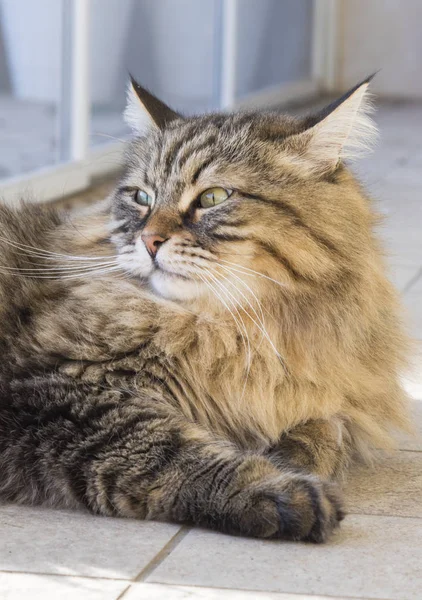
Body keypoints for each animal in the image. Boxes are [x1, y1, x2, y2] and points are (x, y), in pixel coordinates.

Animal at [0, 72, 408, 540]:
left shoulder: (326, 395)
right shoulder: (53, 391)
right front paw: (281, 490)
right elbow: (169, 453)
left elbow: (327, 431)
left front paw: (291, 458)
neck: (238, 332)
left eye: (212, 197)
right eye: (141, 197)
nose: (149, 240)